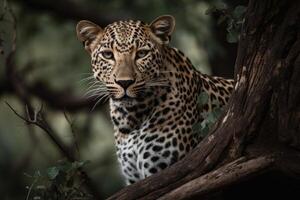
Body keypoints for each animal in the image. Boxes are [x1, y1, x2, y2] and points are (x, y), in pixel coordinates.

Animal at [75, 15, 234, 184]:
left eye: (141, 54)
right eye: (108, 55)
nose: (124, 82)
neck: (131, 117)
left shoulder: (164, 170)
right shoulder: (133, 178)